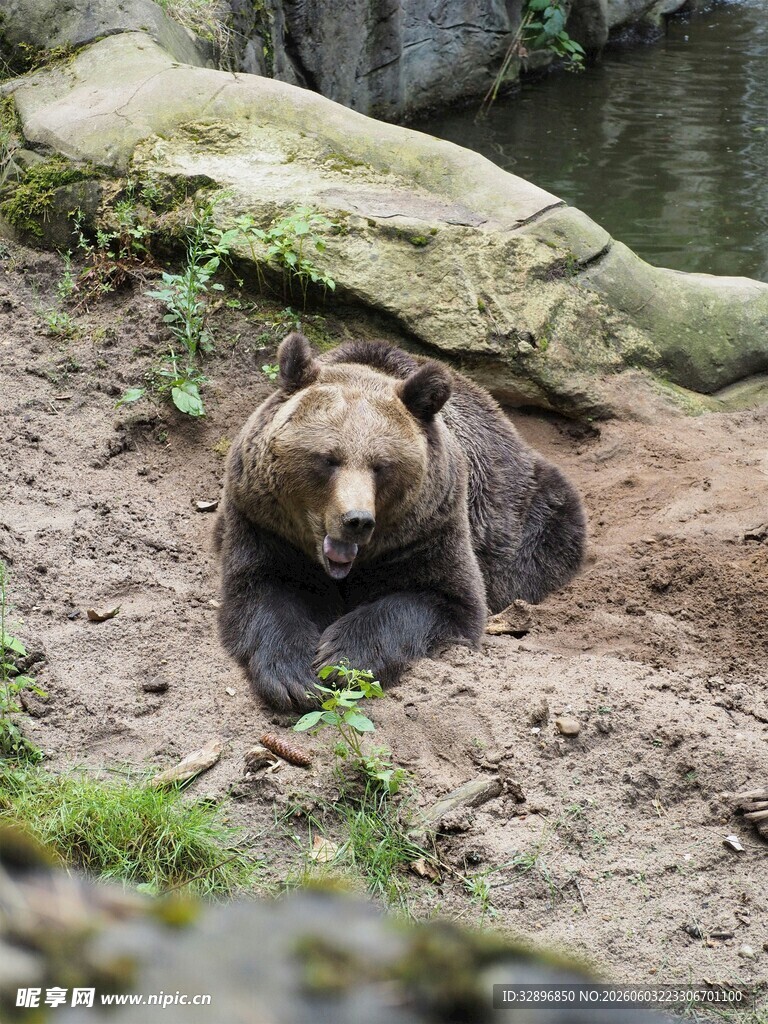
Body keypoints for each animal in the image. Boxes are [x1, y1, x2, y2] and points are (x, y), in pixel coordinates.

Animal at [214, 333, 586, 711]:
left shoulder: (429, 530)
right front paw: (294, 676)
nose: (357, 520)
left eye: (381, 465)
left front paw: (341, 657)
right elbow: (264, 587)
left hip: (522, 508)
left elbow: (443, 599)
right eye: (329, 459)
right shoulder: (263, 523)